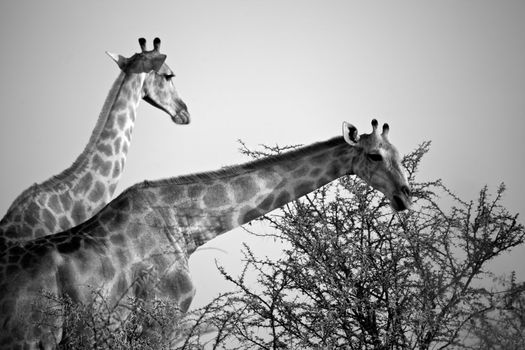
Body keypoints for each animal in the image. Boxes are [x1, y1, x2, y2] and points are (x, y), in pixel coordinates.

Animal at [0, 119, 410, 348]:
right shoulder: (159, 320)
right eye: (374, 156)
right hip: (28, 337)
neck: (185, 227)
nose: (404, 196)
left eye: (400, 154)